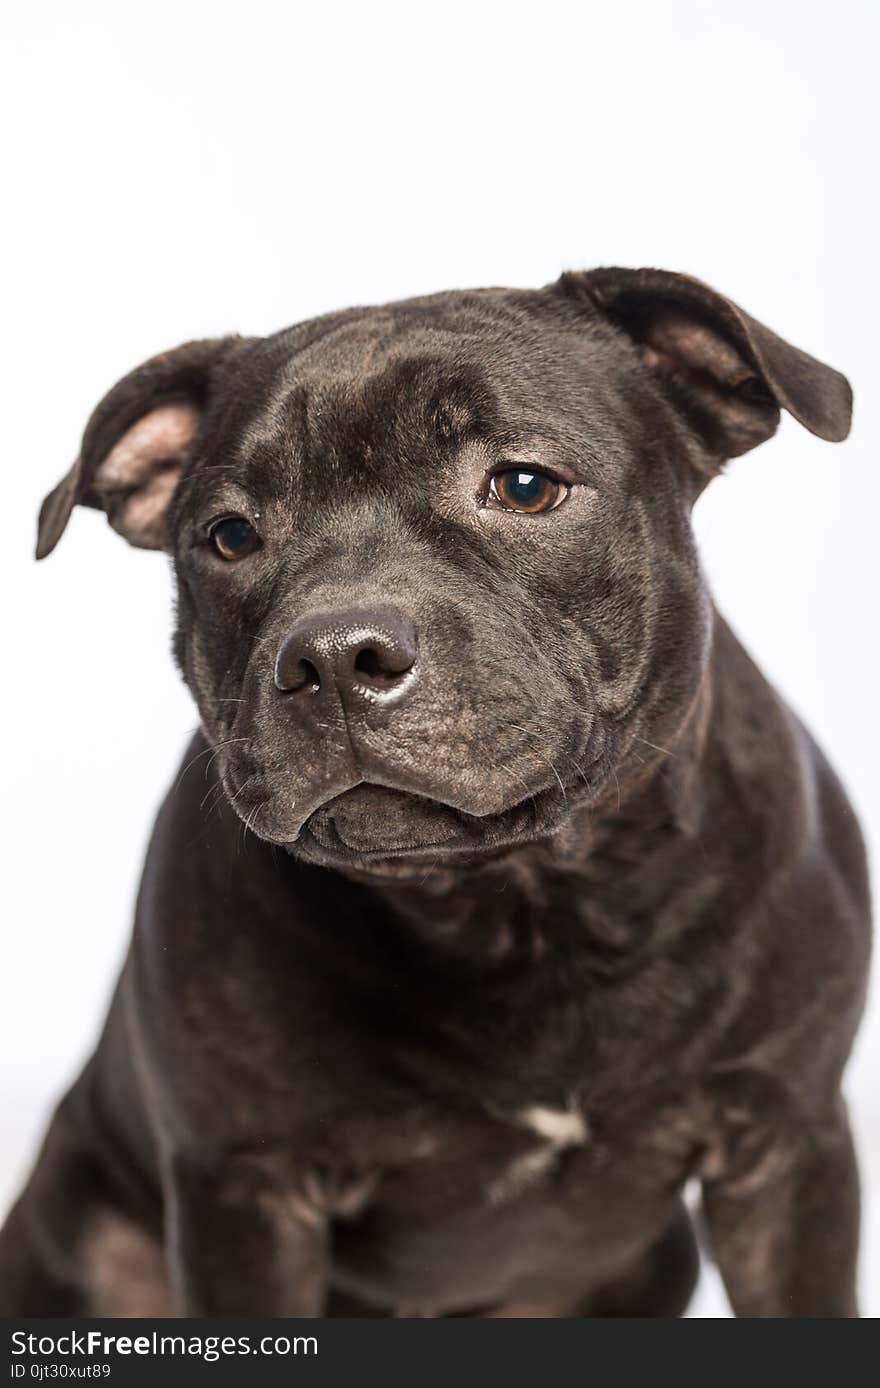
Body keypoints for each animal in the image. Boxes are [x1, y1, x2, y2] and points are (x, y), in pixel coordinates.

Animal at [0, 267, 866, 1310]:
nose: (334, 656)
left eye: (524, 485)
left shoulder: (786, 1149)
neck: (519, 905)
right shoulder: (245, 1193)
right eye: (230, 536)